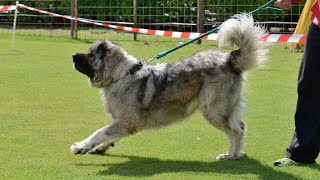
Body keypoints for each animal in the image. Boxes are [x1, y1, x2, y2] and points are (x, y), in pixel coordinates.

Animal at [71, 14, 266, 160]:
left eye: (91, 54)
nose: (73, 55)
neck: (121, 75)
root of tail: (228, 61)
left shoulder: (129, 121)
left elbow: (99, 132)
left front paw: (80, 146)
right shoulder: (122, 121)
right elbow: (109, 134)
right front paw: (99, 148)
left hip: (215, 112)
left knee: (236, 131)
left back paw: (231, 155)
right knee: (240, 127)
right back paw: (236, 154)